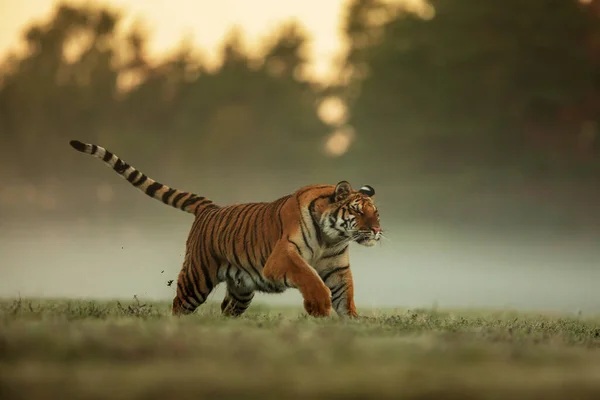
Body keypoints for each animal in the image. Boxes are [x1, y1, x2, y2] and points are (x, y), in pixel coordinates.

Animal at [68, 139, 382, 318]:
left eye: (375, 213)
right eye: (357, 211)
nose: (377, 231)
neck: (331, 237)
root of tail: (210, 207)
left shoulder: (338, 268)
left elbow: (346, 295)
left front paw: (353, 321)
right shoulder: (282, 257)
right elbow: (309, 277)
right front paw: (319, 307)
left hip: (242, 288)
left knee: (226, 309)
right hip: (196, 278)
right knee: (179, 304)